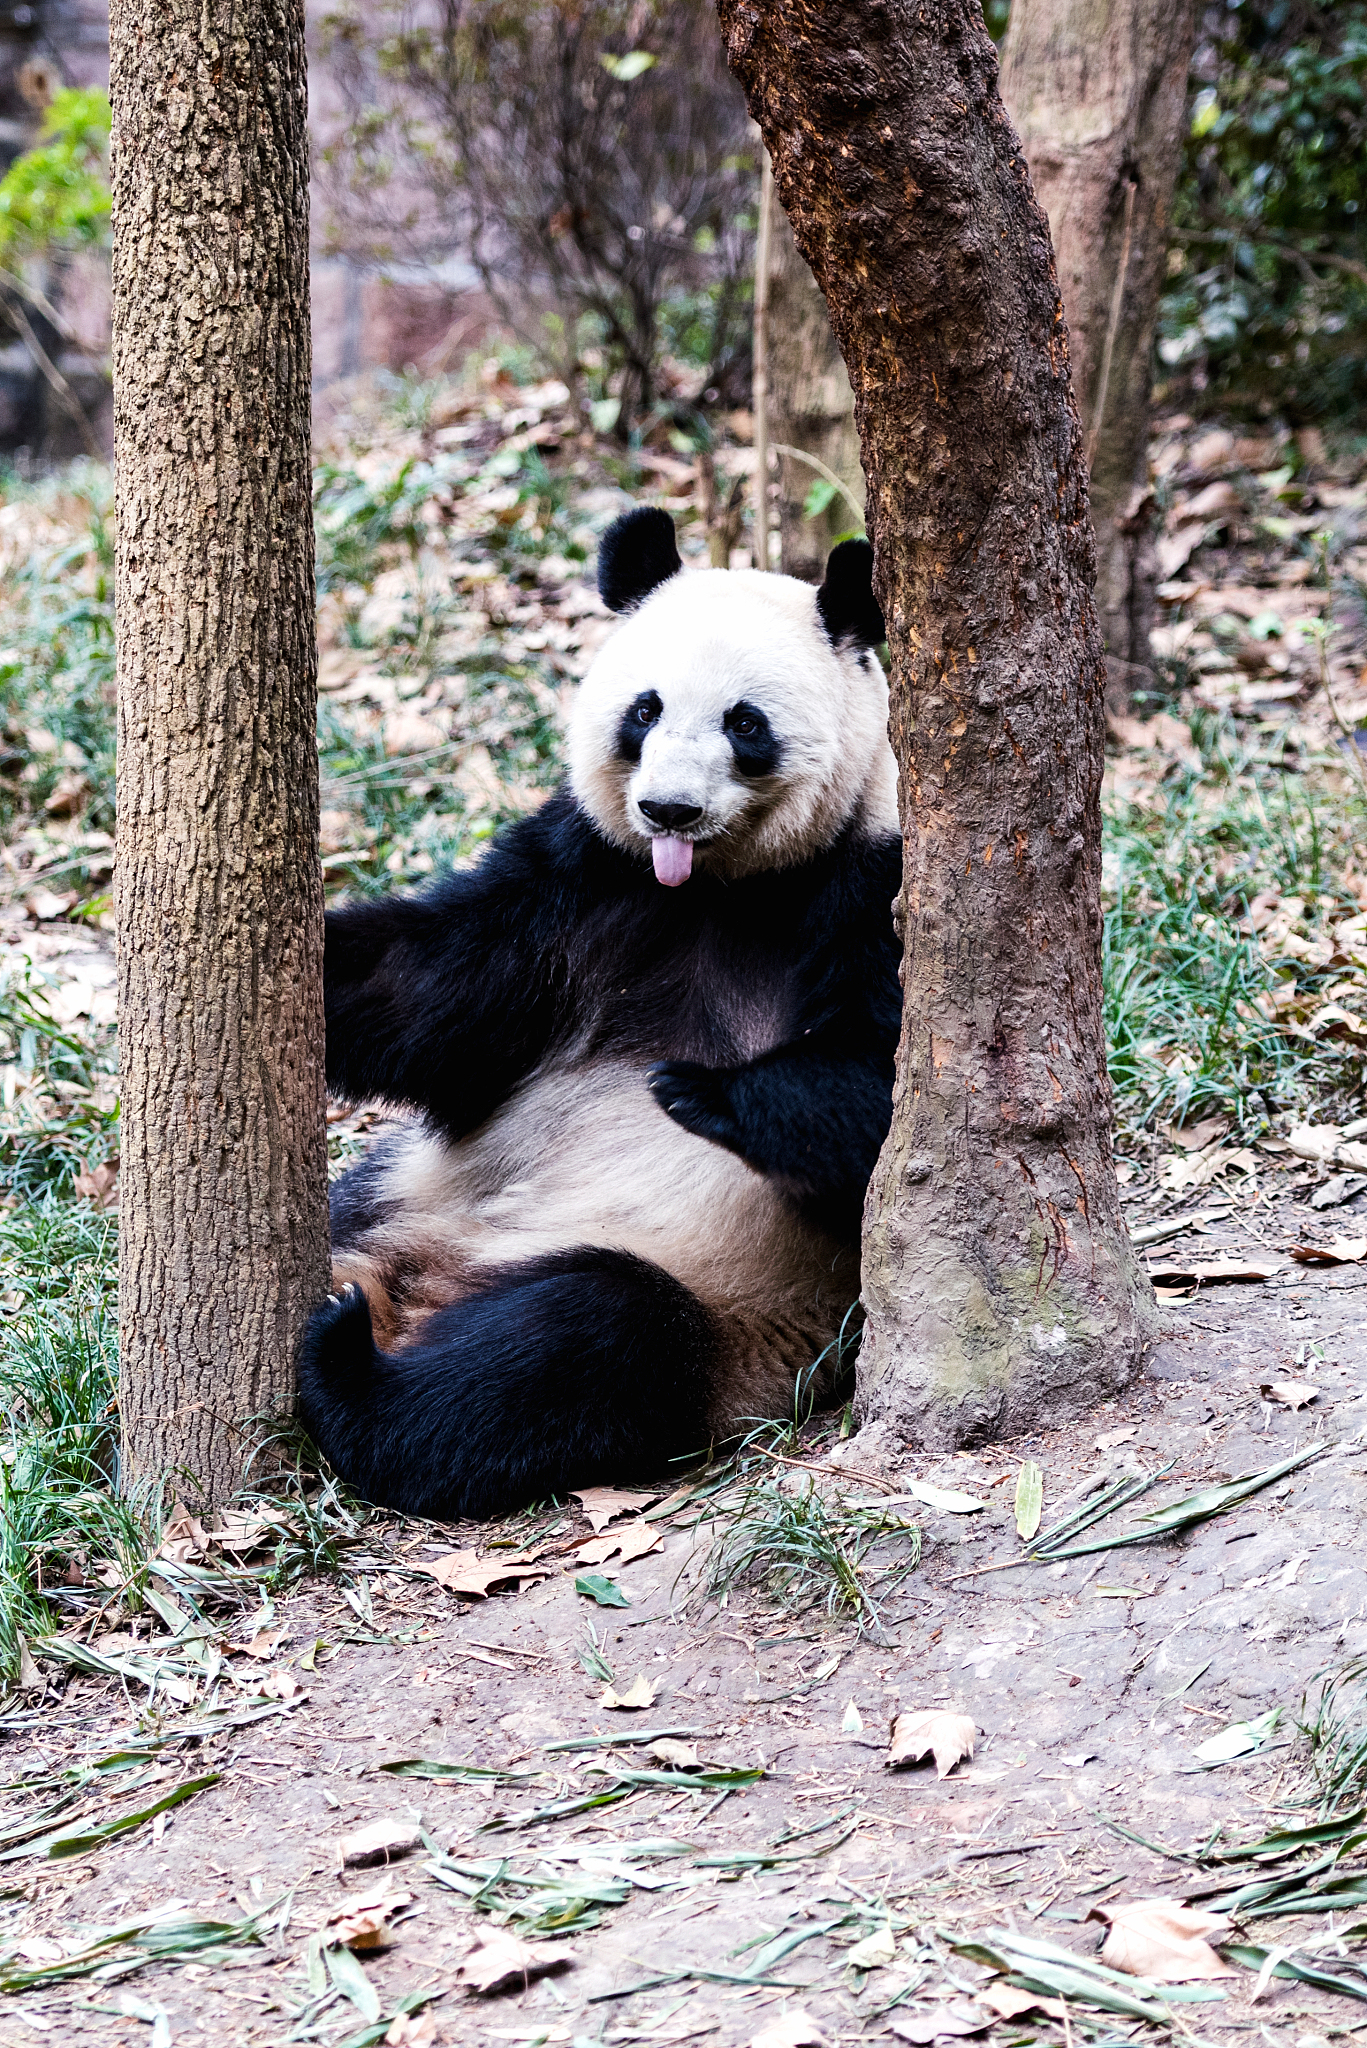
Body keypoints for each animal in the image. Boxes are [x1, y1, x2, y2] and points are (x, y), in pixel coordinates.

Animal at [303, 503, 901, 1515]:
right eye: (644, 709)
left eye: (745, 723)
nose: (668, 809)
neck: (715, 891)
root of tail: (412, 1289)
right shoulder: (579, 885)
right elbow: (433, 993)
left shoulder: (872, 884)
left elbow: (888, 1084)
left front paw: (696, 1090)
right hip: (408, 1186)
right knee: (364, 1208)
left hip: (725, 1310)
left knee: (573, 1346)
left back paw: (348, 1371)